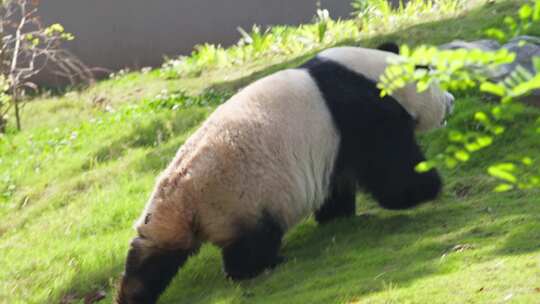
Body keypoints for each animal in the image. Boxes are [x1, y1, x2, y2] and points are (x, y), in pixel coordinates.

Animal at [116, 42, 454, 304]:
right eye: (435, 79)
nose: (450, 102)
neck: (369, 71)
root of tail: (182, 199)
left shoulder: (333, 146)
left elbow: (338, 181)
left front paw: (337, 215)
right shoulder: (360, 111)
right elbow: (391, 172)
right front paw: (430, 186)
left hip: (165, 221)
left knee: (152, 255)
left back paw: (132, 293)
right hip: (242, 198)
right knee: (253, 243)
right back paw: (265, 264)